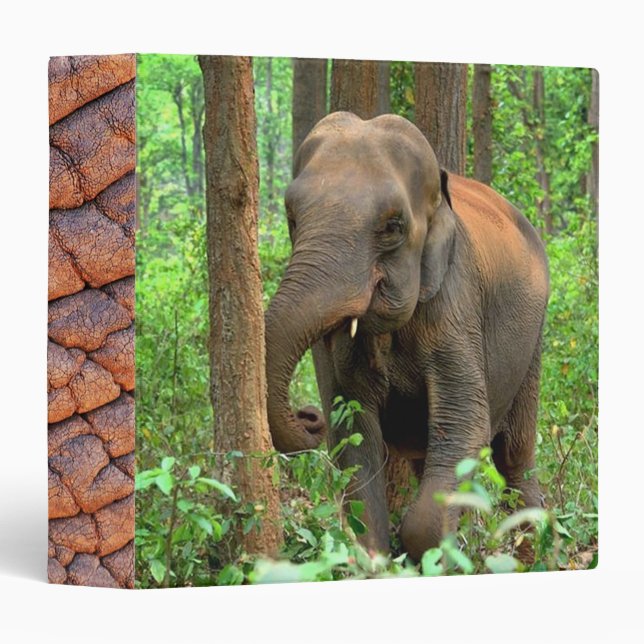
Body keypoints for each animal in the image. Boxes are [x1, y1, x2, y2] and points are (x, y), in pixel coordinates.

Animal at [265, 111, 549, 561]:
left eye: (393, 227)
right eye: (292, 217)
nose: (309, 417)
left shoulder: (455, 302)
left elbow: (467, 422)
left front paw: (433, 554)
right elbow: (353, 434)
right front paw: (382, 557)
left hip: (533, 339)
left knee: (514, 458)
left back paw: (531, 558)